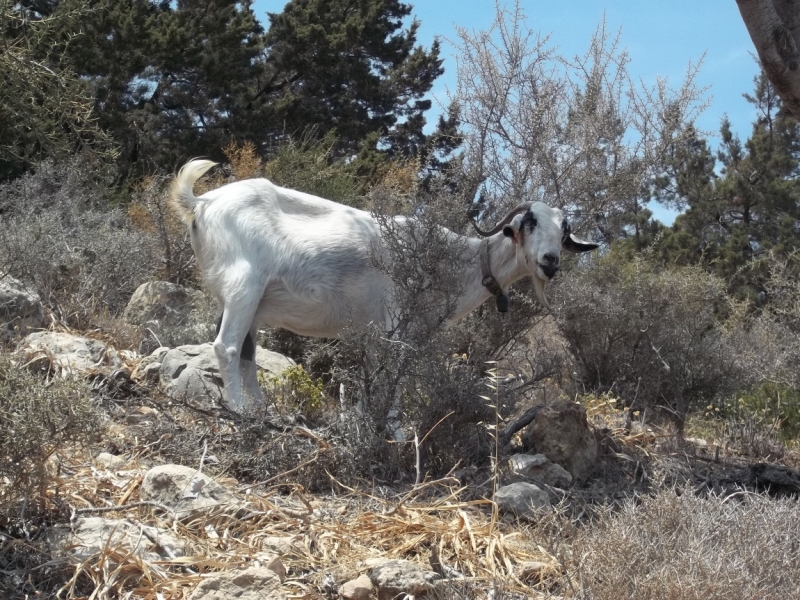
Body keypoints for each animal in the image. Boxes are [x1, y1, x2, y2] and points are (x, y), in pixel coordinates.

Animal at [169, 159, 596, 412]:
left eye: (565, 231)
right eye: (529, 222)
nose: (550, 261)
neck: (460, 260)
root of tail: (201, 203)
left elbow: (380, 374)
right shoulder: (397, 318)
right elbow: (399, 372)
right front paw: (396, 430)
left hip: (250, 302)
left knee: (246, 352)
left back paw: (264, 410)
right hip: (244, 285)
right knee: (226, 347)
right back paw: (242, 412)